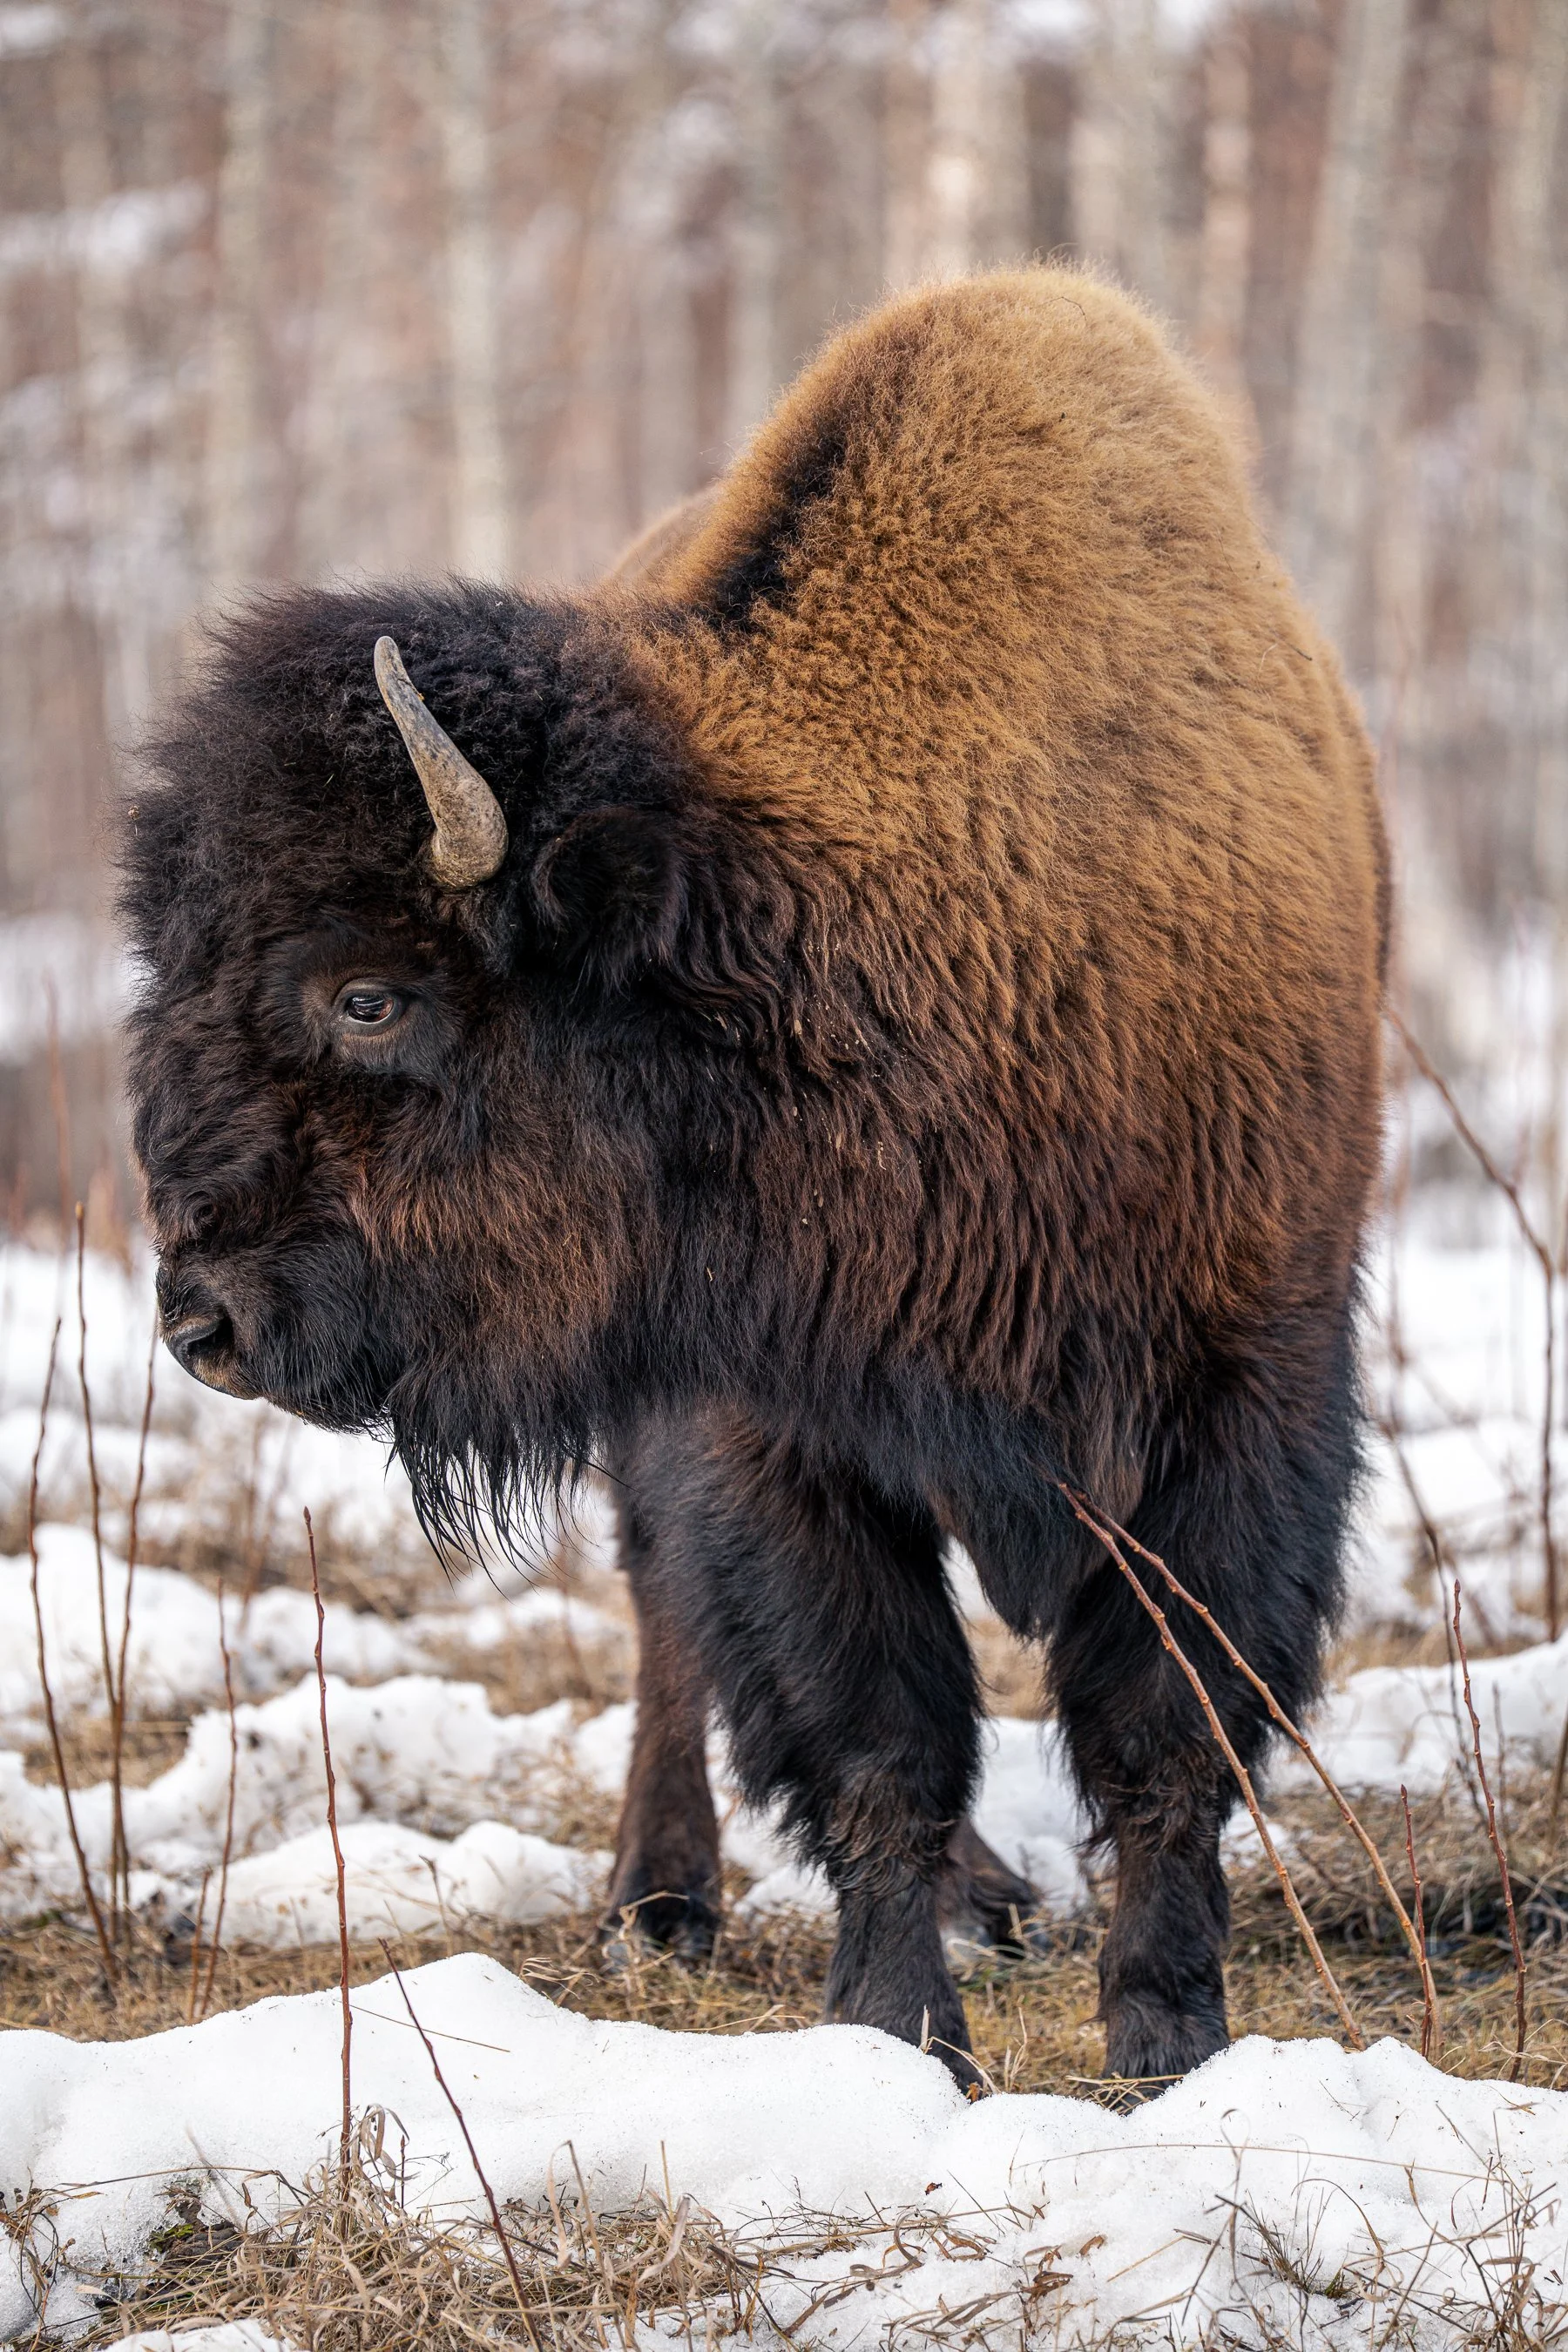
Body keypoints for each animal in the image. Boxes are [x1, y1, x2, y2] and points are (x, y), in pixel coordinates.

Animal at [123, 269, 1388, 2092]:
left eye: (368, 994)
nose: (202, 1317)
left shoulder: (1248, 1377)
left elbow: (1169, 1719)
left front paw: (1168, 2029)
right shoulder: (772, 1426)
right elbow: (873, 1733)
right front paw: (897, 2034)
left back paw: (986, 1900)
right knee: (671, 1626)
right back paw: (664, 1901)